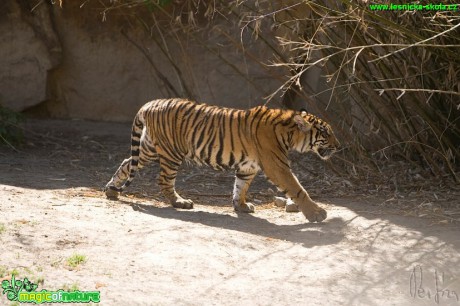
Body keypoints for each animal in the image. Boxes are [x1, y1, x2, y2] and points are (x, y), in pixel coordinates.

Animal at [105, 98, 342, 222]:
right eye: (326, 133)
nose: (339, 146)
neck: (290, 133)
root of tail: (150, 103)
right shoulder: (277, 166)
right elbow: (298, 188)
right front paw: (317, 214)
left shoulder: (248, 167)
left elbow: (241, 187)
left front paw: (241, 206)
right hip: (171, 153)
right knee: (164, 180)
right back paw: (180, 202)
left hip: (149, 149)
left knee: (126, 163)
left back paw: (110, 190)